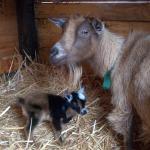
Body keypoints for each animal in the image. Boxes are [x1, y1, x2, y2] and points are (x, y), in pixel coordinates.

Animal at [49, 15, 150, 149]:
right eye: (63, 30)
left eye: (85, 32)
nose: (53, 52)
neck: (118, 58)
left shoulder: (123, 100)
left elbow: (127, 130)